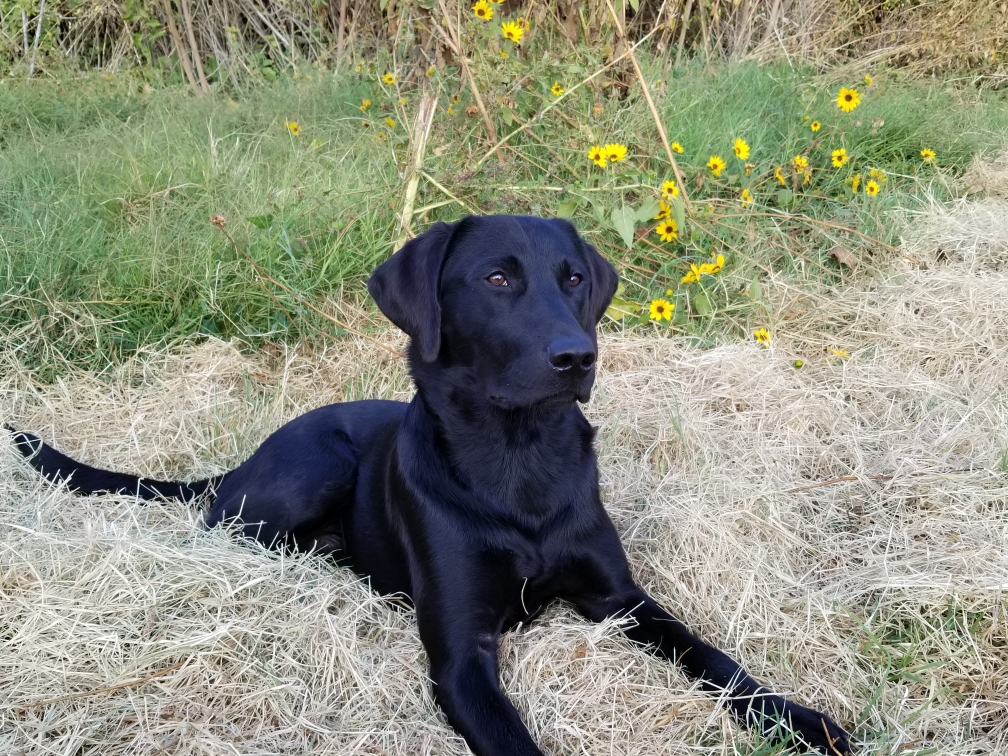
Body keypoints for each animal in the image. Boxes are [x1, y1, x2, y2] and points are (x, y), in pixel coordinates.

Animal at [11, 215, 850, 753]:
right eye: (498, 277)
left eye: (574, 278)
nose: (577, 357)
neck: (517, 462)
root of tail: (245, 459)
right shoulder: (460, 658)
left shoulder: (619, 596)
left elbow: (715, 659)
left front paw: (799, 718)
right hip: (310, 470)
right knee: (225, 526)